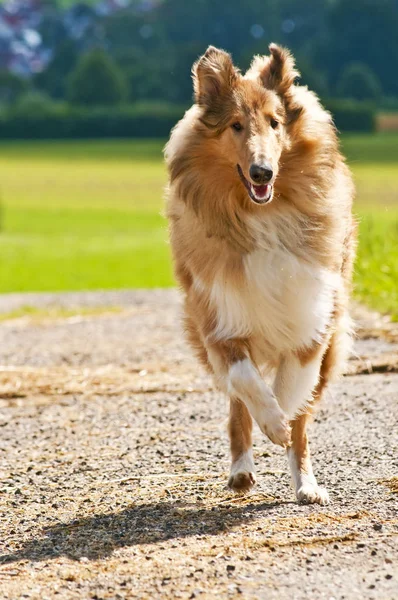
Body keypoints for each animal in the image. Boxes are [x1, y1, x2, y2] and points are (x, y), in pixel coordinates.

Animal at [163, 42, 356, 504]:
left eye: (275, 123)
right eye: (235, 125)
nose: (262, 172)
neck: (260, 214)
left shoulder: (312, 320)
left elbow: (291, 397)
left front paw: (282, 425)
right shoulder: (219, 318)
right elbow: (247, 383)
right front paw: (270, 421)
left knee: (302, 420)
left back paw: (306, 484)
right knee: (237, 406)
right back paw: (241, 470)